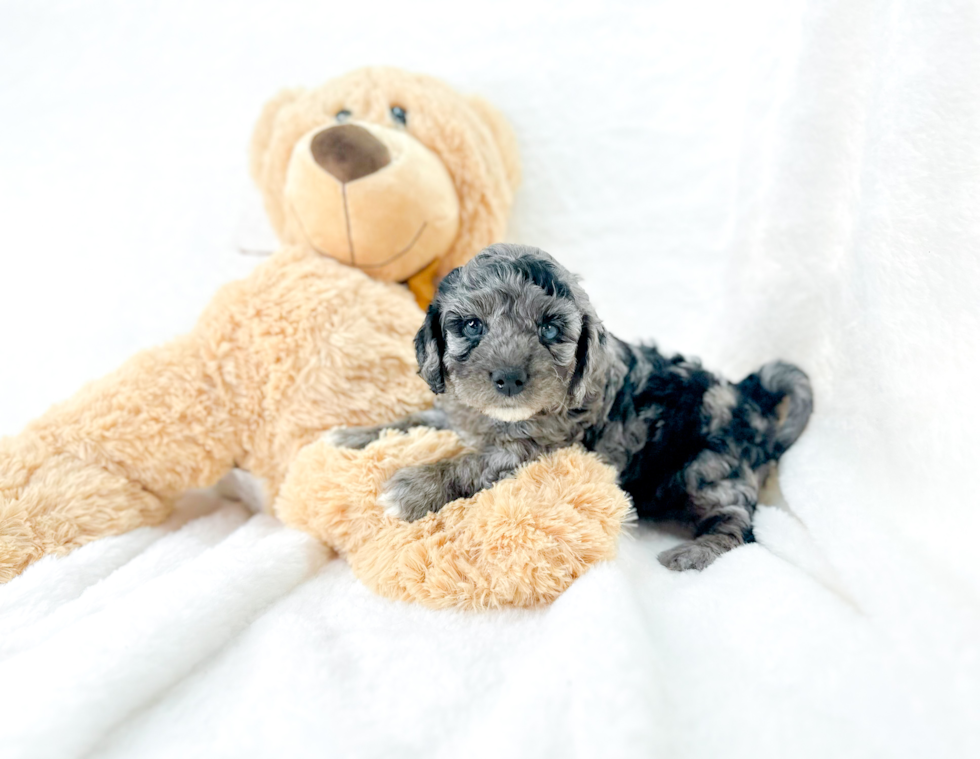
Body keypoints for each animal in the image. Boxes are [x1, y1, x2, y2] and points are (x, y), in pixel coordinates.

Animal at [330, 243, 812, 568]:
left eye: (549, 329)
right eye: (471, 326)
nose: (509, 378)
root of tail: (748, 396)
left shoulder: (537, 448)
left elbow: (473, 462)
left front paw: (415, 488)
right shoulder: (456, 412)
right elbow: (415, 419)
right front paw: (352, 435)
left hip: (707, 469)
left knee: (739, 521)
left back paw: (696, 553)